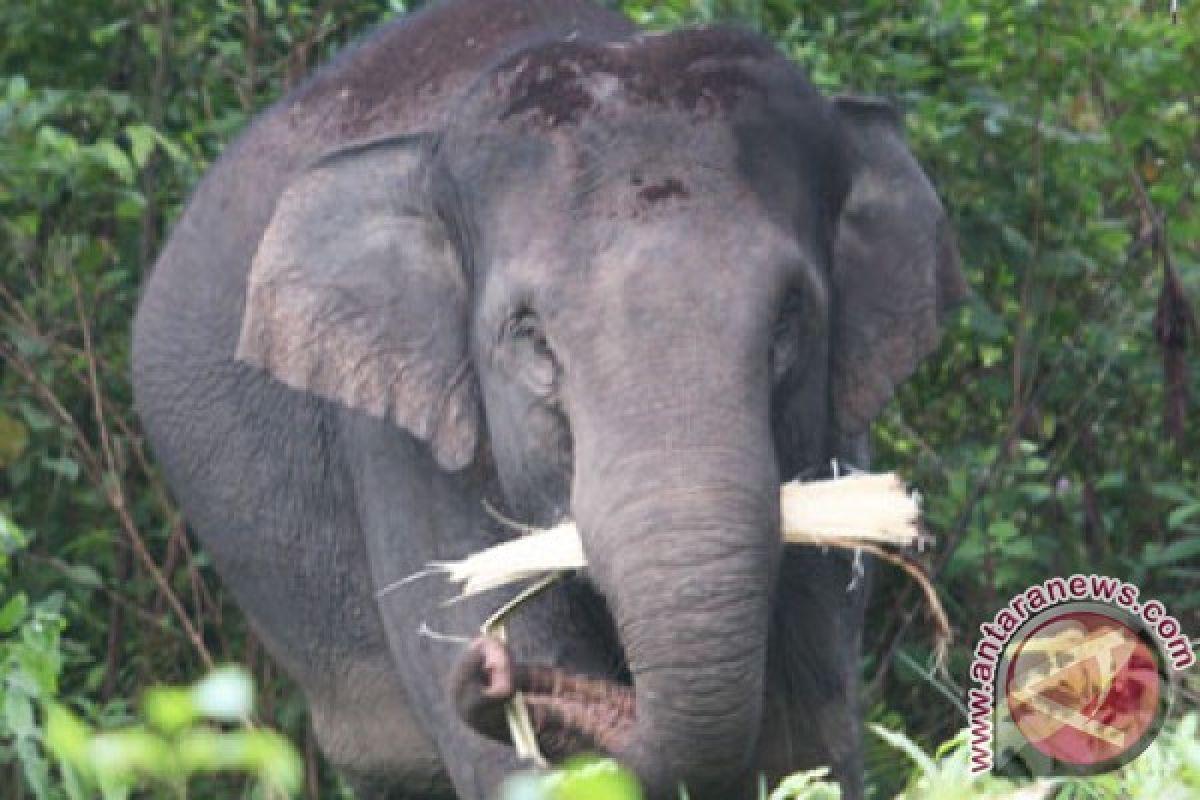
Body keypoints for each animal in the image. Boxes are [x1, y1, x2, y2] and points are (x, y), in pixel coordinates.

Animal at [129, 0, 964, 796]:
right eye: (531, 336)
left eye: (791, 317)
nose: (489, 668)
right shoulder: (408, 449)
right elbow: (510, 763)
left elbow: (809, 743)